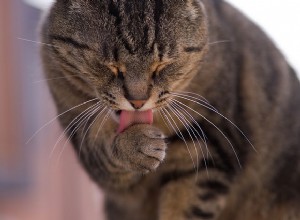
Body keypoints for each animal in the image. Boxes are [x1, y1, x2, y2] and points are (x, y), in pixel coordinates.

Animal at [41, 0, 300, 220]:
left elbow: (186, 205)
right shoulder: (82, 135)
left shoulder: (208, 145)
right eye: (112, 67)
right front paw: (135, 144)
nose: (137, 101)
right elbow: (104, 152)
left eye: (162, 66)